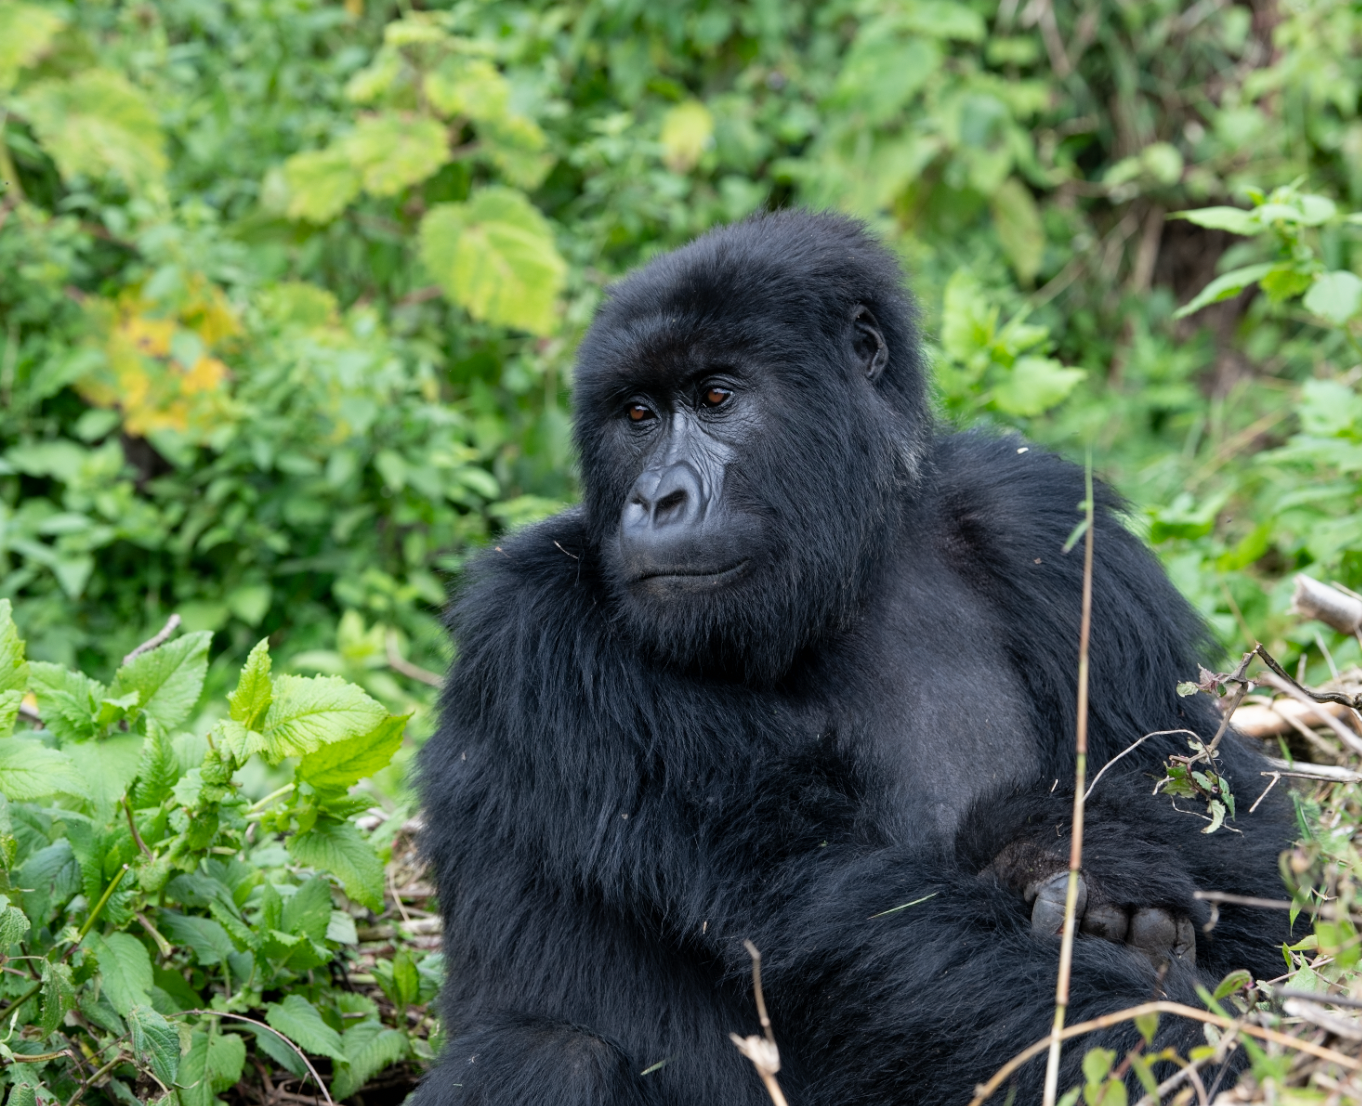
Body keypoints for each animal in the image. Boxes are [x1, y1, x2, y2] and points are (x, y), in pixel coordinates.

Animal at [416, 211, 1296, 1100]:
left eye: (715, 397)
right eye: (637, 415)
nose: (657, 499)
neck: (849, 575)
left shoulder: (1045, 521)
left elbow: (1254, 861)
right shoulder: (540, 625)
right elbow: (855, 916)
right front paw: (1182, 1027)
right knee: (554, 1054)